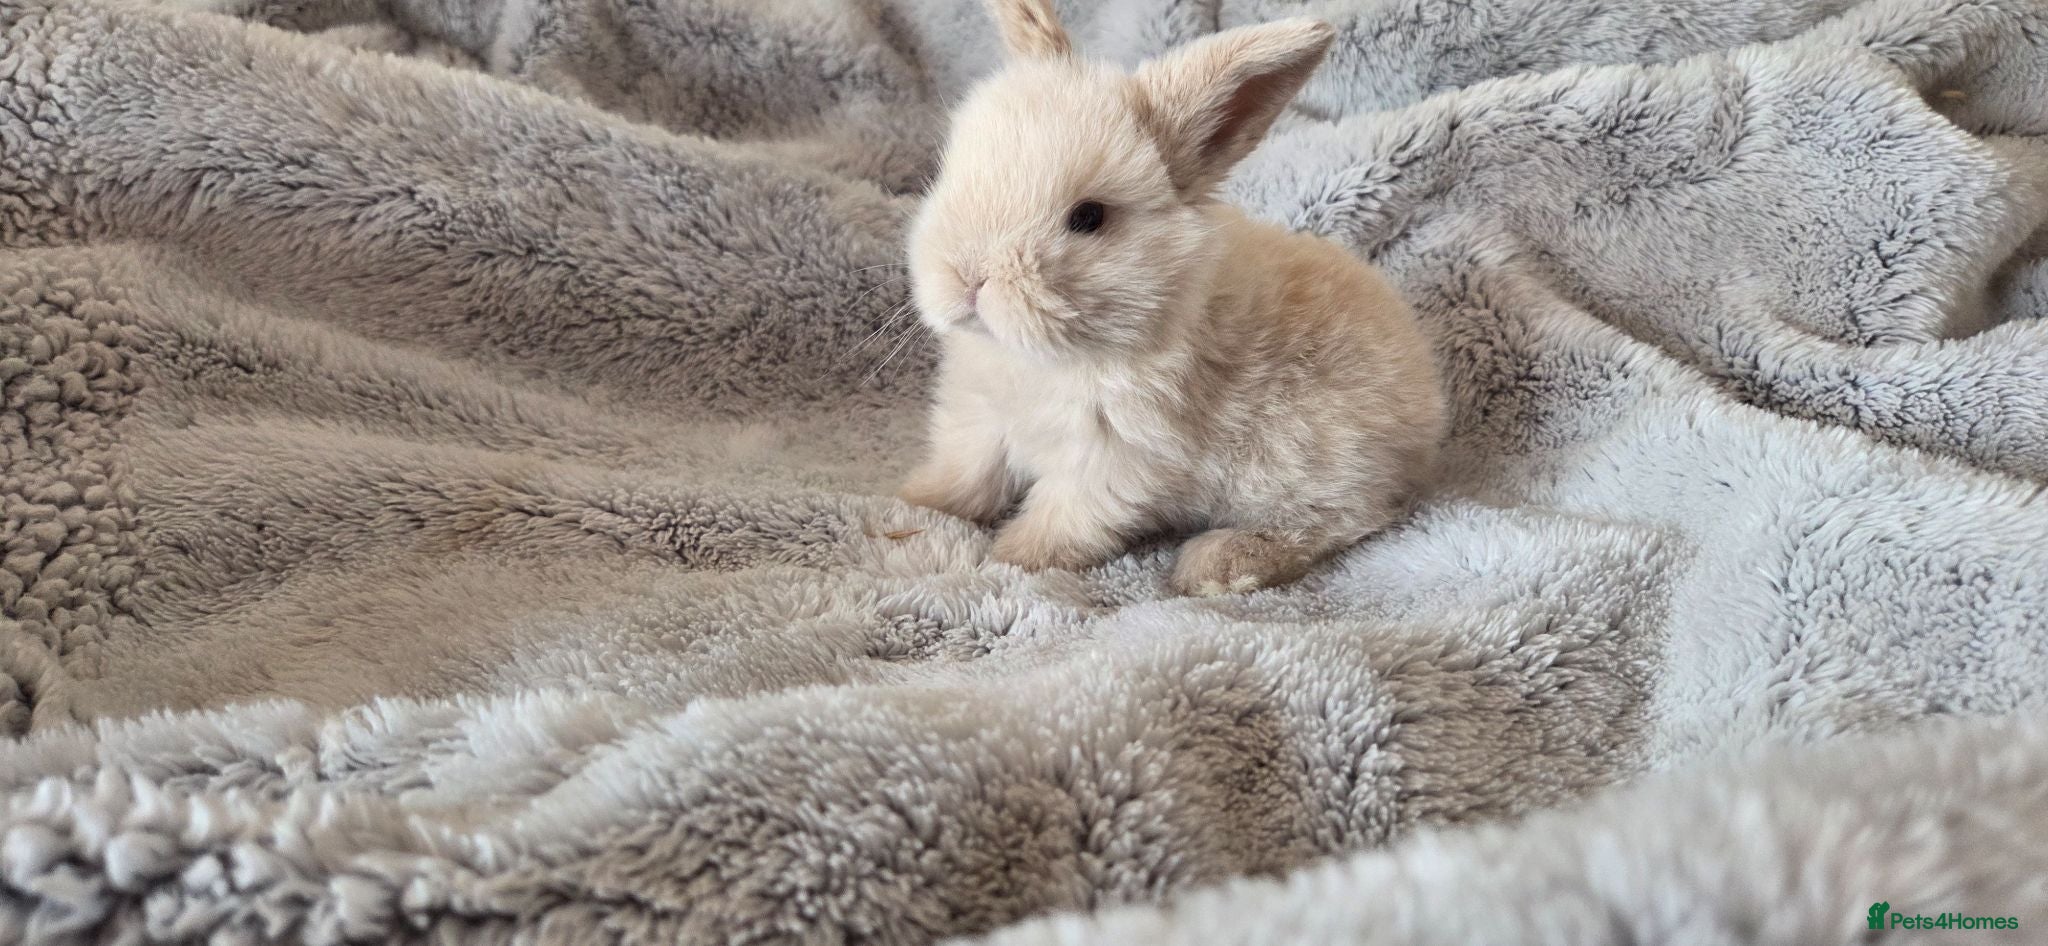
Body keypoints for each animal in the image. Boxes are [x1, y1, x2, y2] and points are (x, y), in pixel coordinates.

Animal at [897, 0, 1446, 597]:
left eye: (1088, 217)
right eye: (949, 173)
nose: (966, 279)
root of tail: (1426, 417)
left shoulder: (1115, 460)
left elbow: (1061, 519)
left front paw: (1011, 560)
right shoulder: (980, 422)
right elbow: (968, 475)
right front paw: (915, 501)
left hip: (1308, 466)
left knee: (1341, 521)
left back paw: (1216, 565)